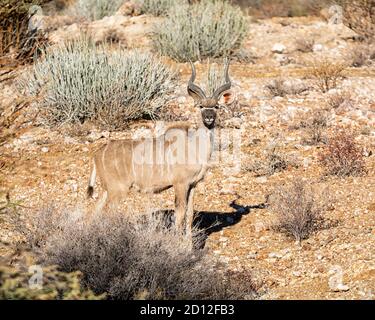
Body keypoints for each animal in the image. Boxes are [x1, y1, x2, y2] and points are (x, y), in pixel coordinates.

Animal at [88, 60, 234, 239]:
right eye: (200, 106)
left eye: (216, 107)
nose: (209, 118)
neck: (194, 147)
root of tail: (97, 153)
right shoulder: (180, 184)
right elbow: (180, 213)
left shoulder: (193, 185)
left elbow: (190, 213)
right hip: (117, 191)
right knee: (107, 213)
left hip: (107, 190)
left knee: (95, 212)